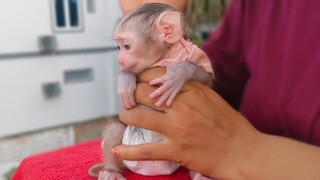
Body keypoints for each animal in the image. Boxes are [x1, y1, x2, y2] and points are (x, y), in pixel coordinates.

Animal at [88, 2, 212, 180]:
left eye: (126, 46)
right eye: (118, 47)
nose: (120, 60)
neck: (164, 56)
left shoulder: (193, 52)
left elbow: (207, 79)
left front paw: (178, 73)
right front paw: (125, 80)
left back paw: (200, 175)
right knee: (116, 128)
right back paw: (111, 171)